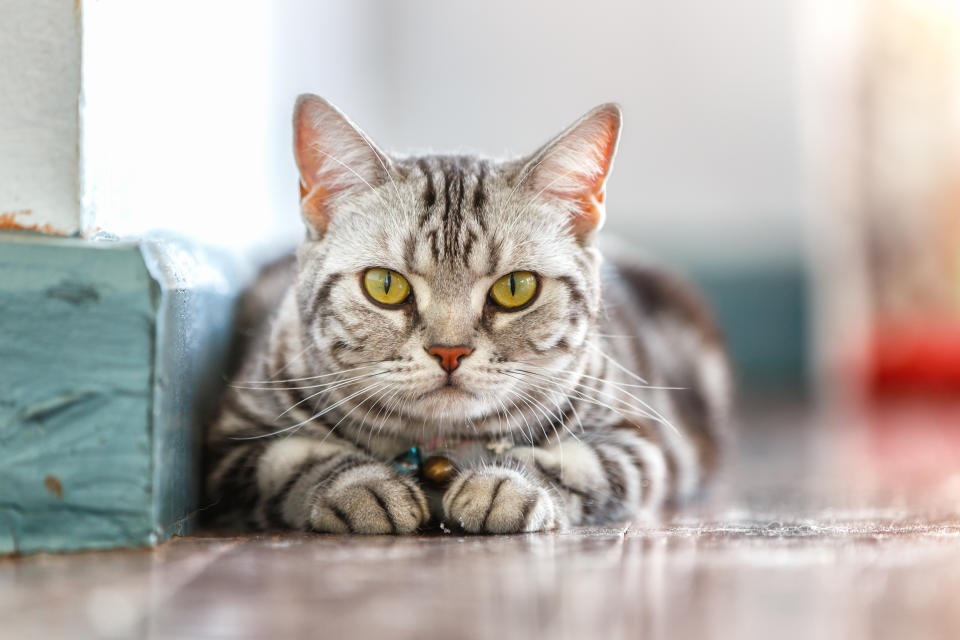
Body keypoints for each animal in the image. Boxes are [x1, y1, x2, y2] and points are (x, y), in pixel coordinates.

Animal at [202, 96, 728, 536]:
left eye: (515, 289)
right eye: (385, 285)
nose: (449, 351)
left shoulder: (637, 444)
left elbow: (574, 465)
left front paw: (502, 486)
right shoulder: (233, 441)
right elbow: (294, 464)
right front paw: (363, 487)